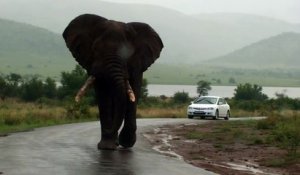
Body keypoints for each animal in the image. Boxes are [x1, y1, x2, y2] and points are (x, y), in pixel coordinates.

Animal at [61, 14, 163, 150]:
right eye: (95, 49)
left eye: (128, 54)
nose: (117, 141)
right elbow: (103, 95)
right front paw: (107, 146)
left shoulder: (138, 63)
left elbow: (134, 92)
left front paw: (125, 142)